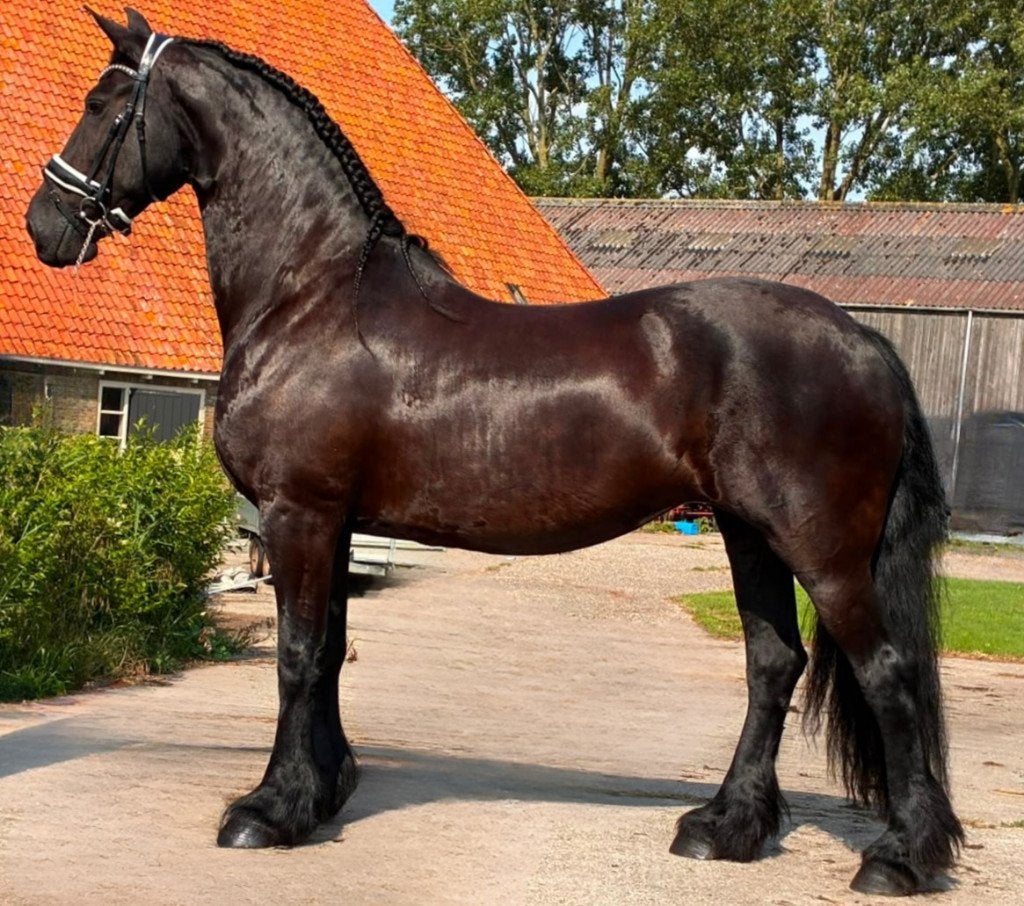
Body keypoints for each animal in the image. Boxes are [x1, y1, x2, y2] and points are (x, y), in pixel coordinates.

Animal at [26, 10, 963, 896]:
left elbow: (295, 657)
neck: (315, 296)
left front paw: (270, 809)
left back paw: (899, 856)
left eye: (101, 104)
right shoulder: (333, 522)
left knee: (887, 673)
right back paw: (727, 826)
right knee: (773, 664)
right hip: (748, 534)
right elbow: (328, 653)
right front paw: (324, 792)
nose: (44, 224)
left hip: (821, 550)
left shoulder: (301, 513)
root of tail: (867, 342)